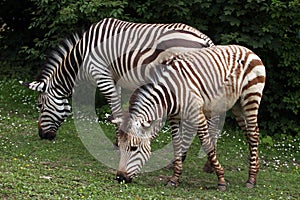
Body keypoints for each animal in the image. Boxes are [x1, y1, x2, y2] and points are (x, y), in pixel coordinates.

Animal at [20, 18, 213, 141]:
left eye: (40, 105)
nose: (42, 136)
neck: (82, 54)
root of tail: (204, 38)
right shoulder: (115, 78)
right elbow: (119, 106)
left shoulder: (101, 75)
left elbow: (115, 109)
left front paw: (118, 140)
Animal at [116, 44, 266, 191]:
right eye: (120, 146)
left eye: (134, 148)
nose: (120, 178)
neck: (169, 93)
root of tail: (248, 50)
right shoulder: (174, 116)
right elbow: (177, 144)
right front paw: (174, 178)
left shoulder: (197, 113)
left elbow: (207, 144)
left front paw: (221, 180)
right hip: (237, 106)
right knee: (250, 133)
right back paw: (256, 169)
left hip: (250, 98)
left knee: (253, 134)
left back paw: (251, 179)